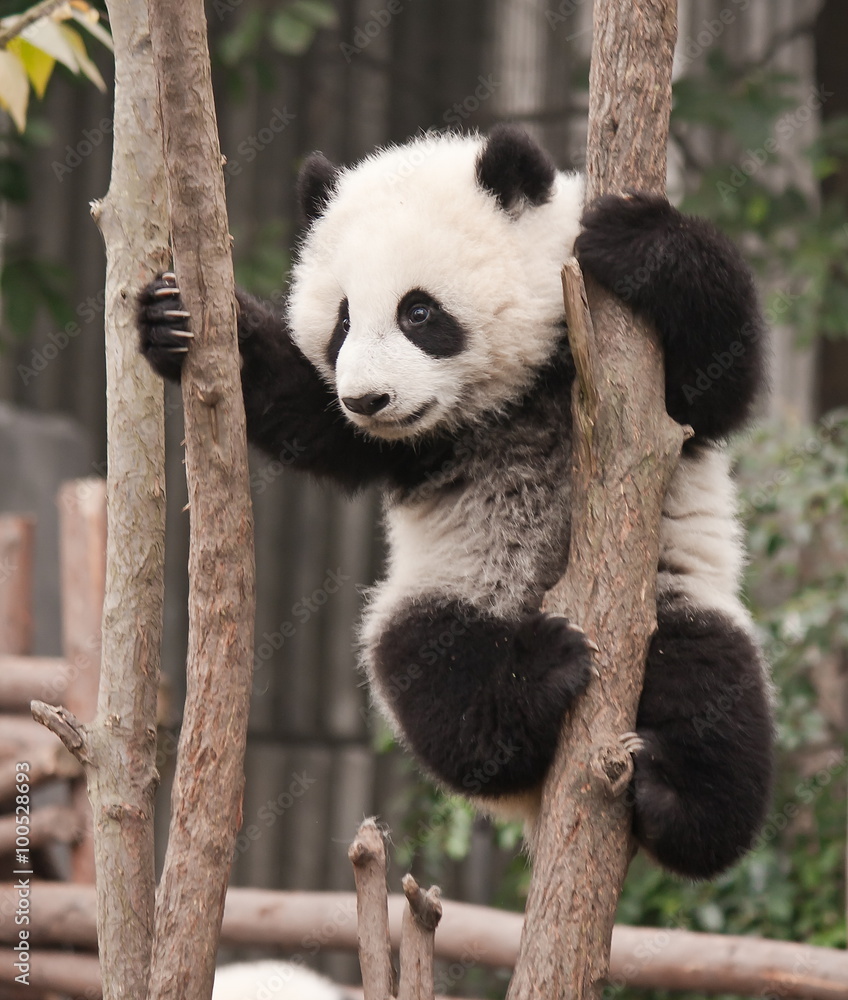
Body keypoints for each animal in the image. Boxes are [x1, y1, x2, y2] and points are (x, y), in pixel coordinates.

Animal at [138, 125, 774, 880]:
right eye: (343, 322)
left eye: (419, 312)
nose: (369, 399)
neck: (508, 398)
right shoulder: (403, 444)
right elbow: (310, 416)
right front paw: (174, 321)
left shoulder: (630, 378)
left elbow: (722, 375)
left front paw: (638, 238)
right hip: (446, 597)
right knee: (434, 679)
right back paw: (536, 679)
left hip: (676, 602)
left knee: (714, 697)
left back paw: (672, 801)